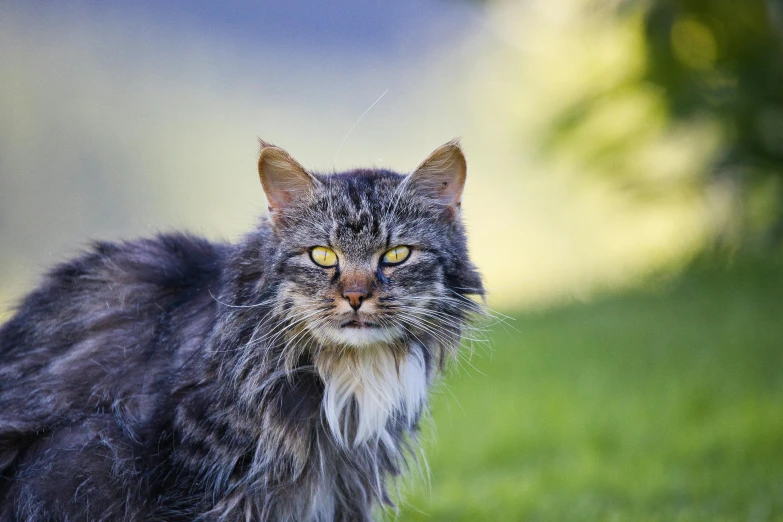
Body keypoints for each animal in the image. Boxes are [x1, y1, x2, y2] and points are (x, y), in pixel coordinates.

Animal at [0, 139, 484, 520]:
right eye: (323, 256)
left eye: (397, 255)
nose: (356, 295)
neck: (348, 373)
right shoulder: (194, 477)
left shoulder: (346, 485)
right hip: (90, 446)